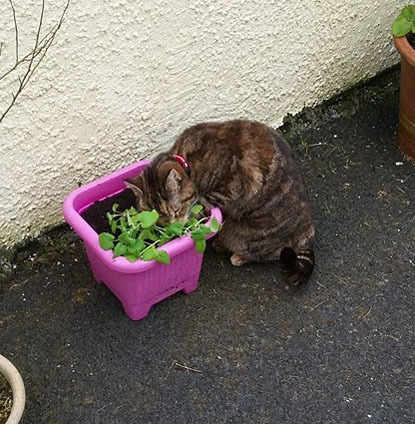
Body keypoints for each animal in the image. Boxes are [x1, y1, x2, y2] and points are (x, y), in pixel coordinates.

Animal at [126, 119, 316, 284]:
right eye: (158, 218)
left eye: (176, 210)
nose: (172, 228)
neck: (188, 164)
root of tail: (307, 235)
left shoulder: (228, 189)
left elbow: (202, 201)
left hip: (254, 239)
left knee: (269, 253)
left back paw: (237, 255)